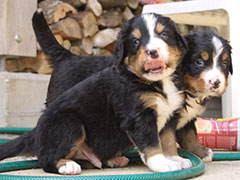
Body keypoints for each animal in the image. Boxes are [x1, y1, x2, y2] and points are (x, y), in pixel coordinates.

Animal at [0, 11, 191, 174]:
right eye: (136, 42)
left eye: (164, 35)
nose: (152, 51)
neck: (157, 83)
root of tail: (36, 130)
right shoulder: (140, 117)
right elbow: (152, 143)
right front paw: (162, 163)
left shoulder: (170, 115)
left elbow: (168, 140)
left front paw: (175, 159)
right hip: (69, 123)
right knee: (46, 160)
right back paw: (67, 166)